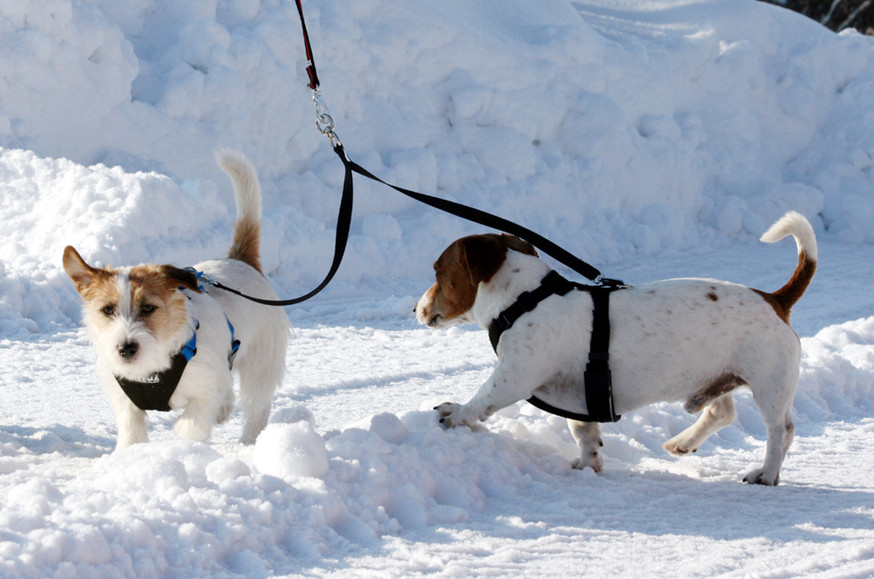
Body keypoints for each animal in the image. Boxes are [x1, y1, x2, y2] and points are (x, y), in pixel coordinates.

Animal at [66, 152, 290, 450]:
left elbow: (191, 424)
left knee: (257, 406)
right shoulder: (126, 403)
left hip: (261, 364)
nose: (126, 348)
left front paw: (184, 448)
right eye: (107, 310)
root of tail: (239, 260)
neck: (152, 368)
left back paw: (250, 442)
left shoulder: (205, 388)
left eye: (148, 308)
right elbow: (132, 434)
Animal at [412, 212, 816, 484]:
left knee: (781, 432)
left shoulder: (514, 376)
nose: (415, 309)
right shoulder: (580, 400)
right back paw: (682, 443)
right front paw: (588, 464)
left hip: (769, 384)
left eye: (437, 271)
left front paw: (455, 414)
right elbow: (584, 433)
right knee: (722, 412)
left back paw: (766, 473)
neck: (525, 299)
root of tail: (775, 299)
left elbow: (481, 400)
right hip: (719, 376)